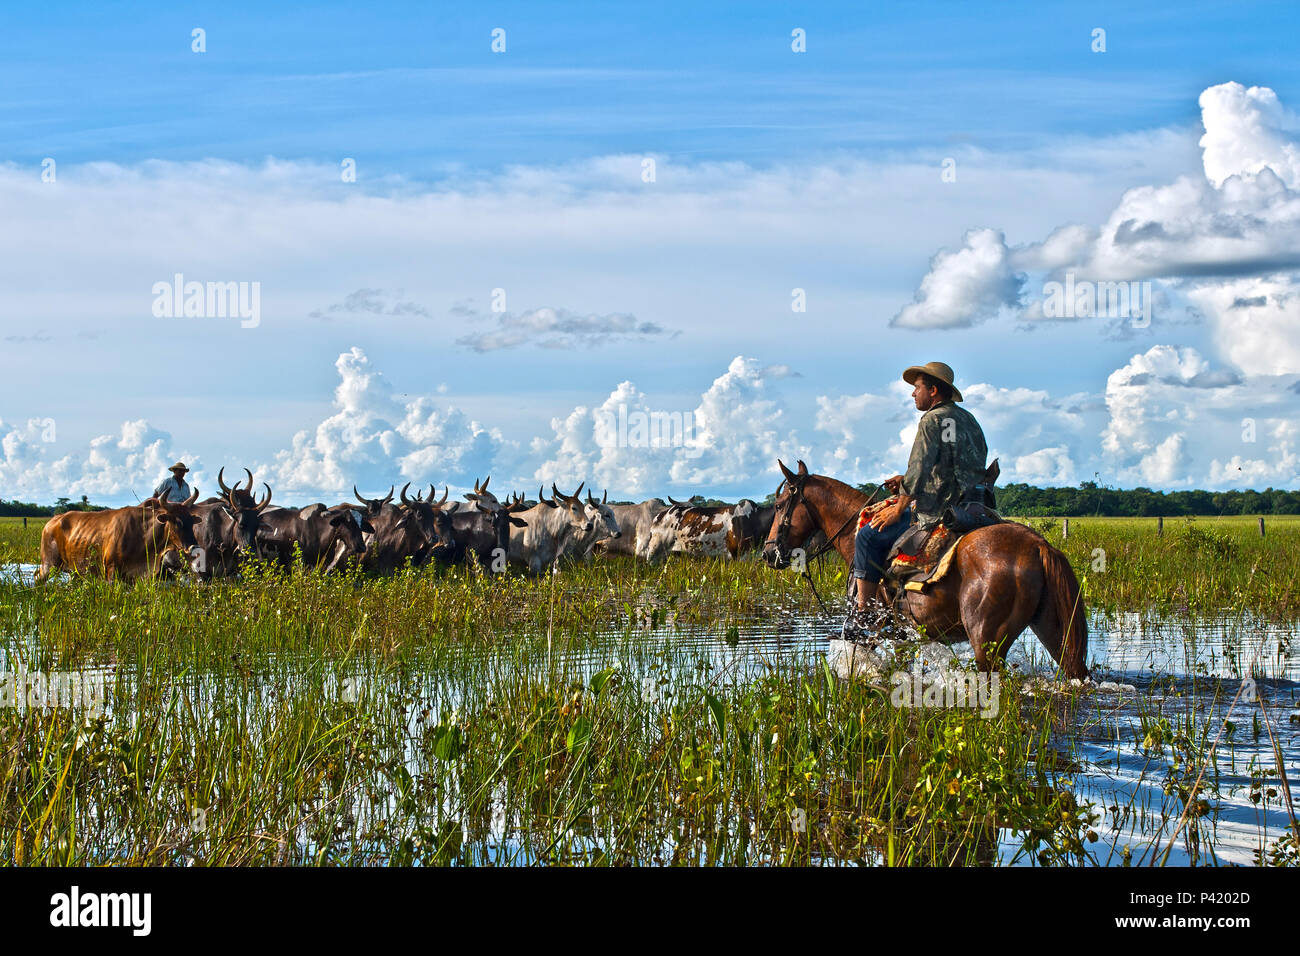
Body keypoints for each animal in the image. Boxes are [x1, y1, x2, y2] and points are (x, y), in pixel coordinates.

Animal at [34, 494, 202, 582]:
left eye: (191, 521)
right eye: (178, 521)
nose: (194, 547)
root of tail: (53, 520)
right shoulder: (111, 572)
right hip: (48, 565)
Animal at [759, 460, 1086, 676]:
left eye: (779, 505)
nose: (768, 552)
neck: (855, 532)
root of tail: (1038, 545)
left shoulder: (873, 631)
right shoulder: (901, 634)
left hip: (986, 642)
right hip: (1053, 629)